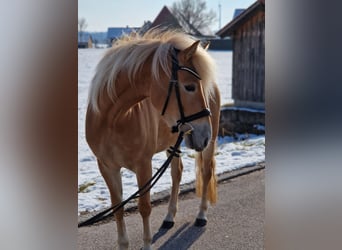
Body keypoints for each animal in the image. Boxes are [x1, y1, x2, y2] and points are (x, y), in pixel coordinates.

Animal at [86, 30, 222, 249]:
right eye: (190, 87)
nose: (204, 134)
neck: (113, 120)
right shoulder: (107, 167)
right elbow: (117, 208)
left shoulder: (144, 165)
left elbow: (144, 207)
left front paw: (147, 243)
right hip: (173, 143)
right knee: (177, 173)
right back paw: (169, 217)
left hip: (209, 142)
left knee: (206, 171)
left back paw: (201, 215)